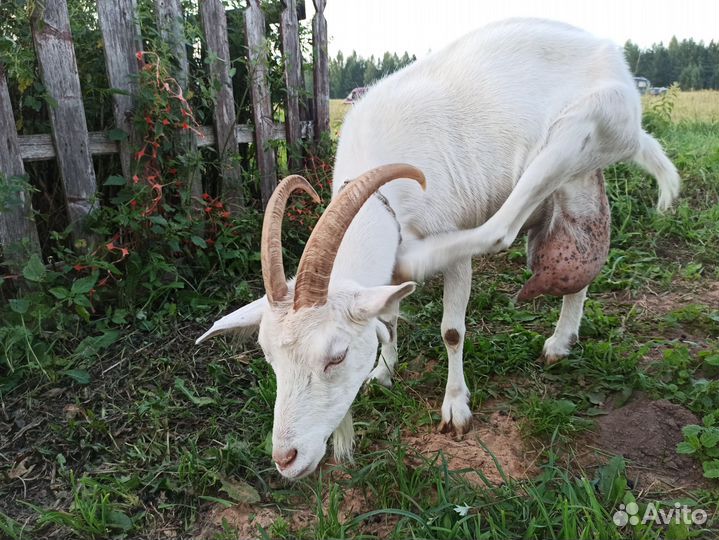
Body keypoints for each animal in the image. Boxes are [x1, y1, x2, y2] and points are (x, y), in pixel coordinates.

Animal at [197, 18, 680, 480]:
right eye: (270, 359)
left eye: (336, 356)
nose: (286, 459)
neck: (384, 197)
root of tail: (610, 52)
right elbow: (388, 317)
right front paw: (384, 370)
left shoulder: (454, 248)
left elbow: (451, 330)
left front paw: (455, 408)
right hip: (568, 186)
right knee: (576, 248)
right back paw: (561, 340)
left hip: (581, 132)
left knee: (503, 227)